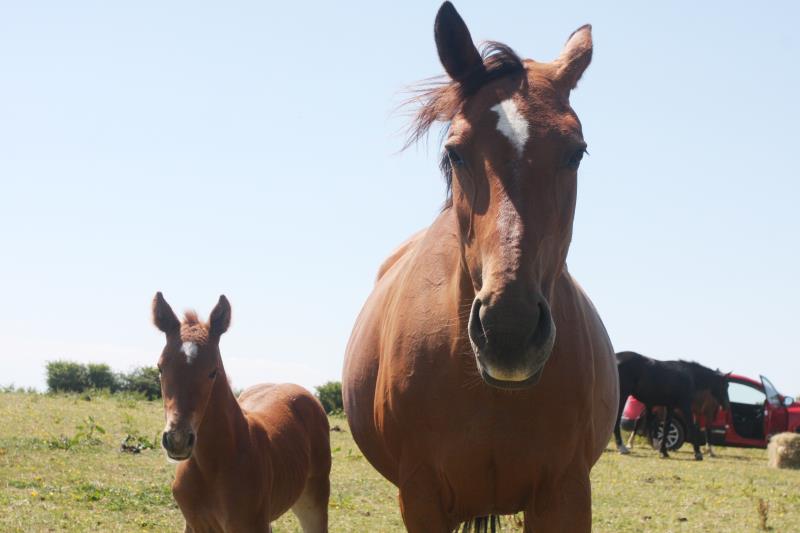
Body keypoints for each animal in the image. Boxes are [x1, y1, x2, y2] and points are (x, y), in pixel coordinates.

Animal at [153, 290, 332, 532]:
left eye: (213, 371)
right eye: (160, 367)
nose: (177, 439)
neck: (212, 466)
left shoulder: (251, 524)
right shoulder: (194, 524)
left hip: (314, 499)